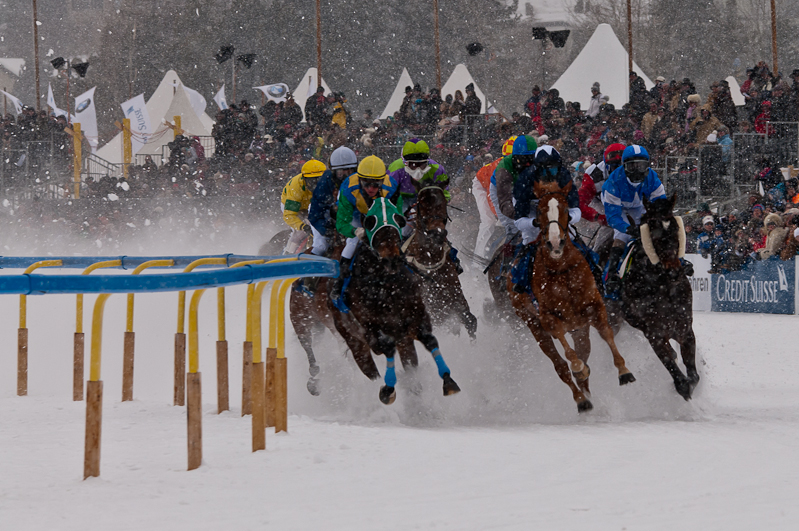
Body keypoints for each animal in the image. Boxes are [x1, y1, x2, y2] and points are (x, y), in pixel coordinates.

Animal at [332, 198, 462, 404]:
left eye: (398, 219)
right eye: (370, 221)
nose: (392, 259)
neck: (386, 286)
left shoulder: (415, 317)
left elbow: (429, 339)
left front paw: (448, 381)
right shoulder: (372, 329)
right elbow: (386, 347)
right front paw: (388, 389)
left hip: (403, 341)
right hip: (354, 342)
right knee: (372, 367)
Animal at [616, 194, 696, 400]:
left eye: (675, 228)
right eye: (652, 230)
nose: (674, 272)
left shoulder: (684, 327)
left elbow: (693, 376)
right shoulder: (655, 333)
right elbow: (677, 374)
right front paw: (682, 386)